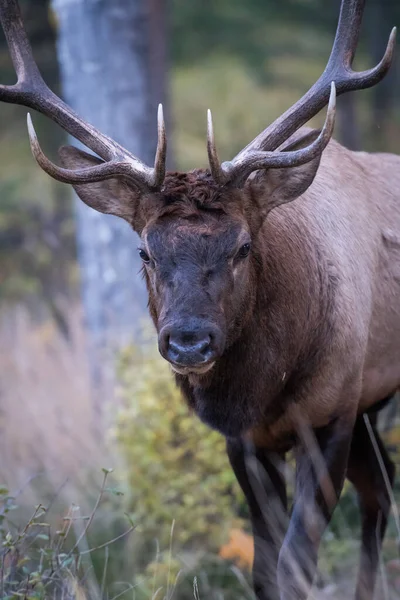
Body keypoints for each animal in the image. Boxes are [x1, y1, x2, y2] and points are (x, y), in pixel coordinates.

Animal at [0, 0, 400, 596]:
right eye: (145, 250)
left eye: (243, 245)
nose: (188, 342)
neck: (268, 389)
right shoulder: (246, 440)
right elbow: (263, 568)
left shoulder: (334, 410)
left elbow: (296, 563)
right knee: (381, 490)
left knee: (378, 497)